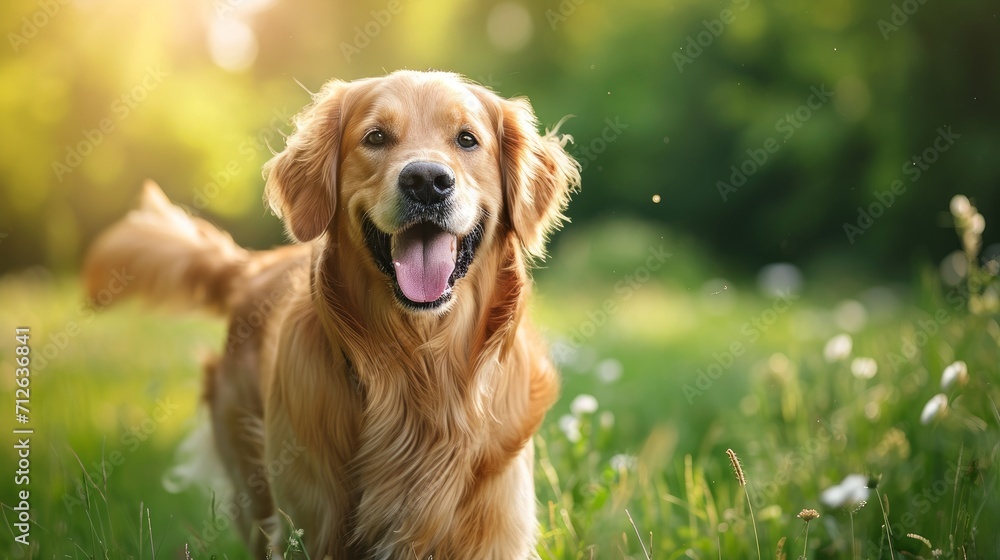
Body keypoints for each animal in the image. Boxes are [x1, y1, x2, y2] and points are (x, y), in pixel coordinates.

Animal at [87, 71, 584, 560]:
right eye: (376, 136)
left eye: (467, 139)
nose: (426, 180)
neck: (421, 366)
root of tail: (253, 267)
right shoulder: (309, 525)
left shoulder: (494, 529)